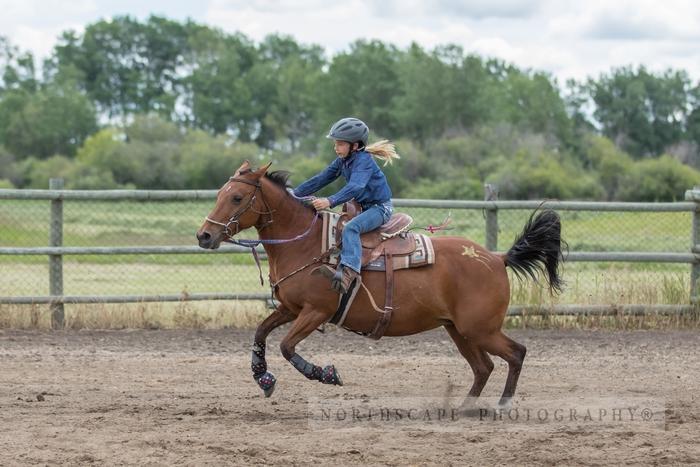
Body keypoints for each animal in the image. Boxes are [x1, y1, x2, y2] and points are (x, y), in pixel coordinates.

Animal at [196, 160, 564, 406]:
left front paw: (326, 374)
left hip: (480, 329)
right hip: (459, 330)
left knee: (515, 354)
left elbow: (287, 346)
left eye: (237, 198)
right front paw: (264, 378)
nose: (204, 235)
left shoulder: (316, 311)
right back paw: (465, 409)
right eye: (221, 193)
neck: (305, 243)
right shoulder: (290, 308)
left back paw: (502, 405)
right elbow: (260, 333)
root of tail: (497, 258)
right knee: (484, 367)